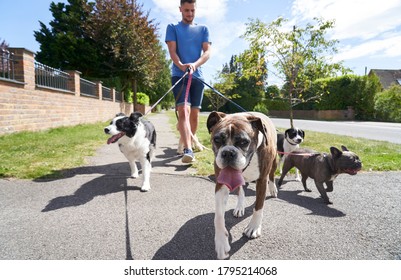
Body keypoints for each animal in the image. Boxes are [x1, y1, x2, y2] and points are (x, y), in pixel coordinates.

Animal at [208, 110, 276, 260]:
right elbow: (218, 217)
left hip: (274, 163)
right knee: (241, 191)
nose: (228, 152)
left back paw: (273, 189)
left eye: (244, 142)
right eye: (217, 140)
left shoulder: (262, 180)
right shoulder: (221, 185)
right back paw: (239, 207)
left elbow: (258, 207)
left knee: (272, 175)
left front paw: (253, 227)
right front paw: (221, 242)